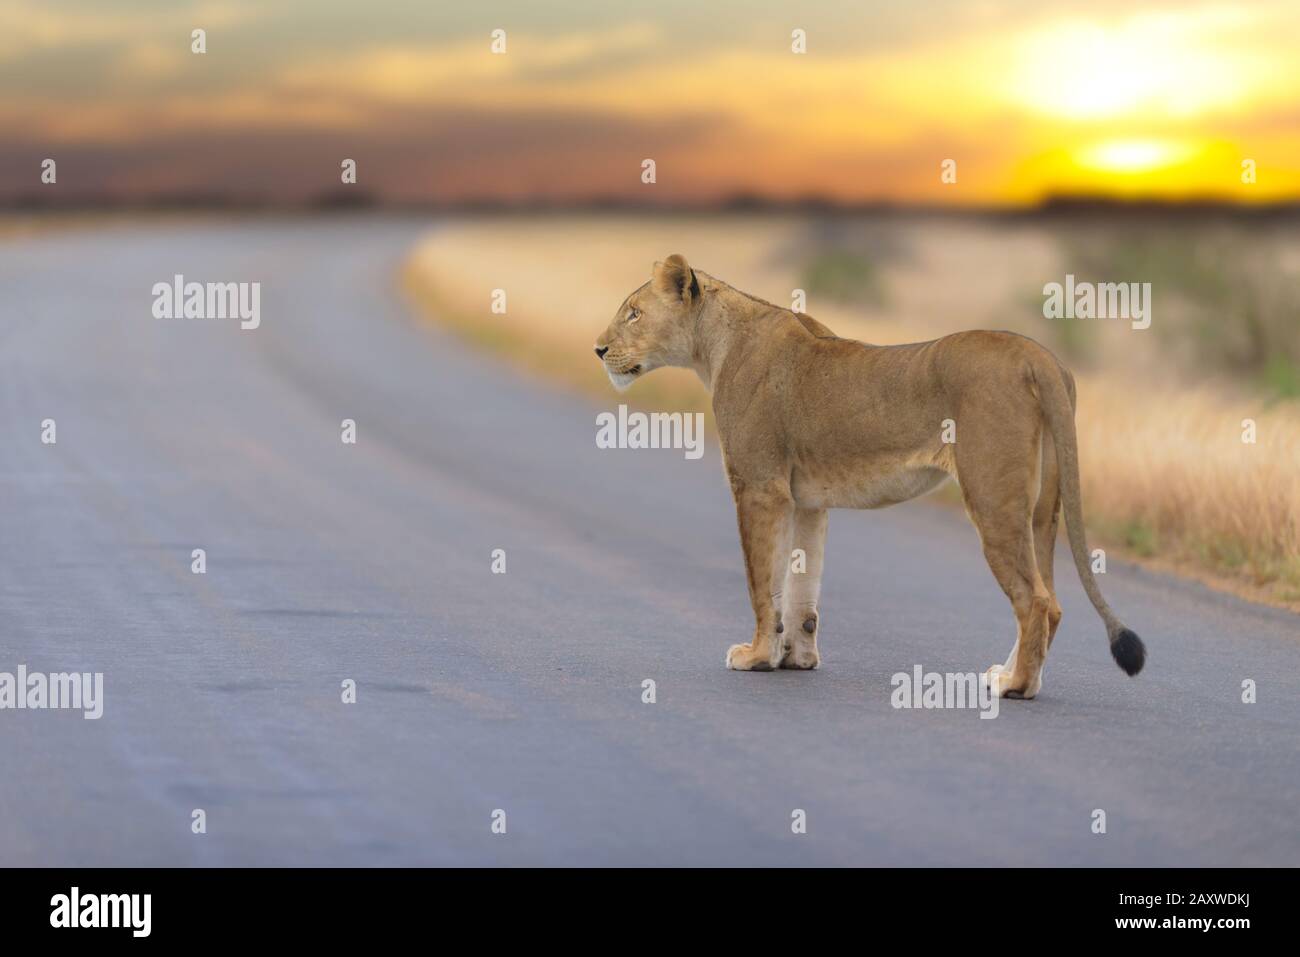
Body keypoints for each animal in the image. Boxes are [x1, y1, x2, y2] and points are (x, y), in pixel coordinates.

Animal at [593, 254, 1146, 698]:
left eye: (634, 313)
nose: (598, 349)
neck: (714, 346)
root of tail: (1040, 357)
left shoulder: (759, 487)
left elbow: (761, 582)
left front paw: (756, 657)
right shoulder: (806, 500)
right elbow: (801, 583)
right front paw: (796, 658)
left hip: (994, 499)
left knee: (1036, 601)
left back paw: (1015, 686)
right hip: (1041, 512)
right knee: (1051, 600)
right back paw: (1005, 674)